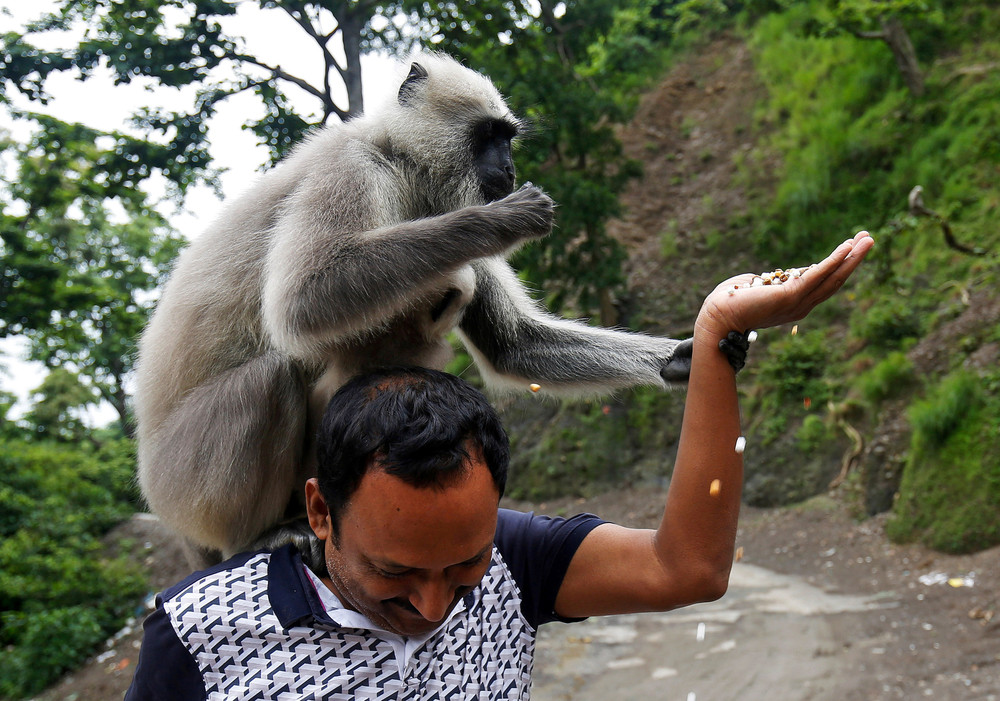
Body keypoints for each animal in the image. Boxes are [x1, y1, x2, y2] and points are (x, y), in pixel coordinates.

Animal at [133, 54, 748, 568]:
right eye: (489, 137)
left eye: (508, 138)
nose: (508, 166)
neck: (401, 162)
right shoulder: (352, 166)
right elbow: (303, 300)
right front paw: (500, 222)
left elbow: (515, 344)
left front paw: (686, 356)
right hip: (186, 482)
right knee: (276, 375)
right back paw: (258, 535)